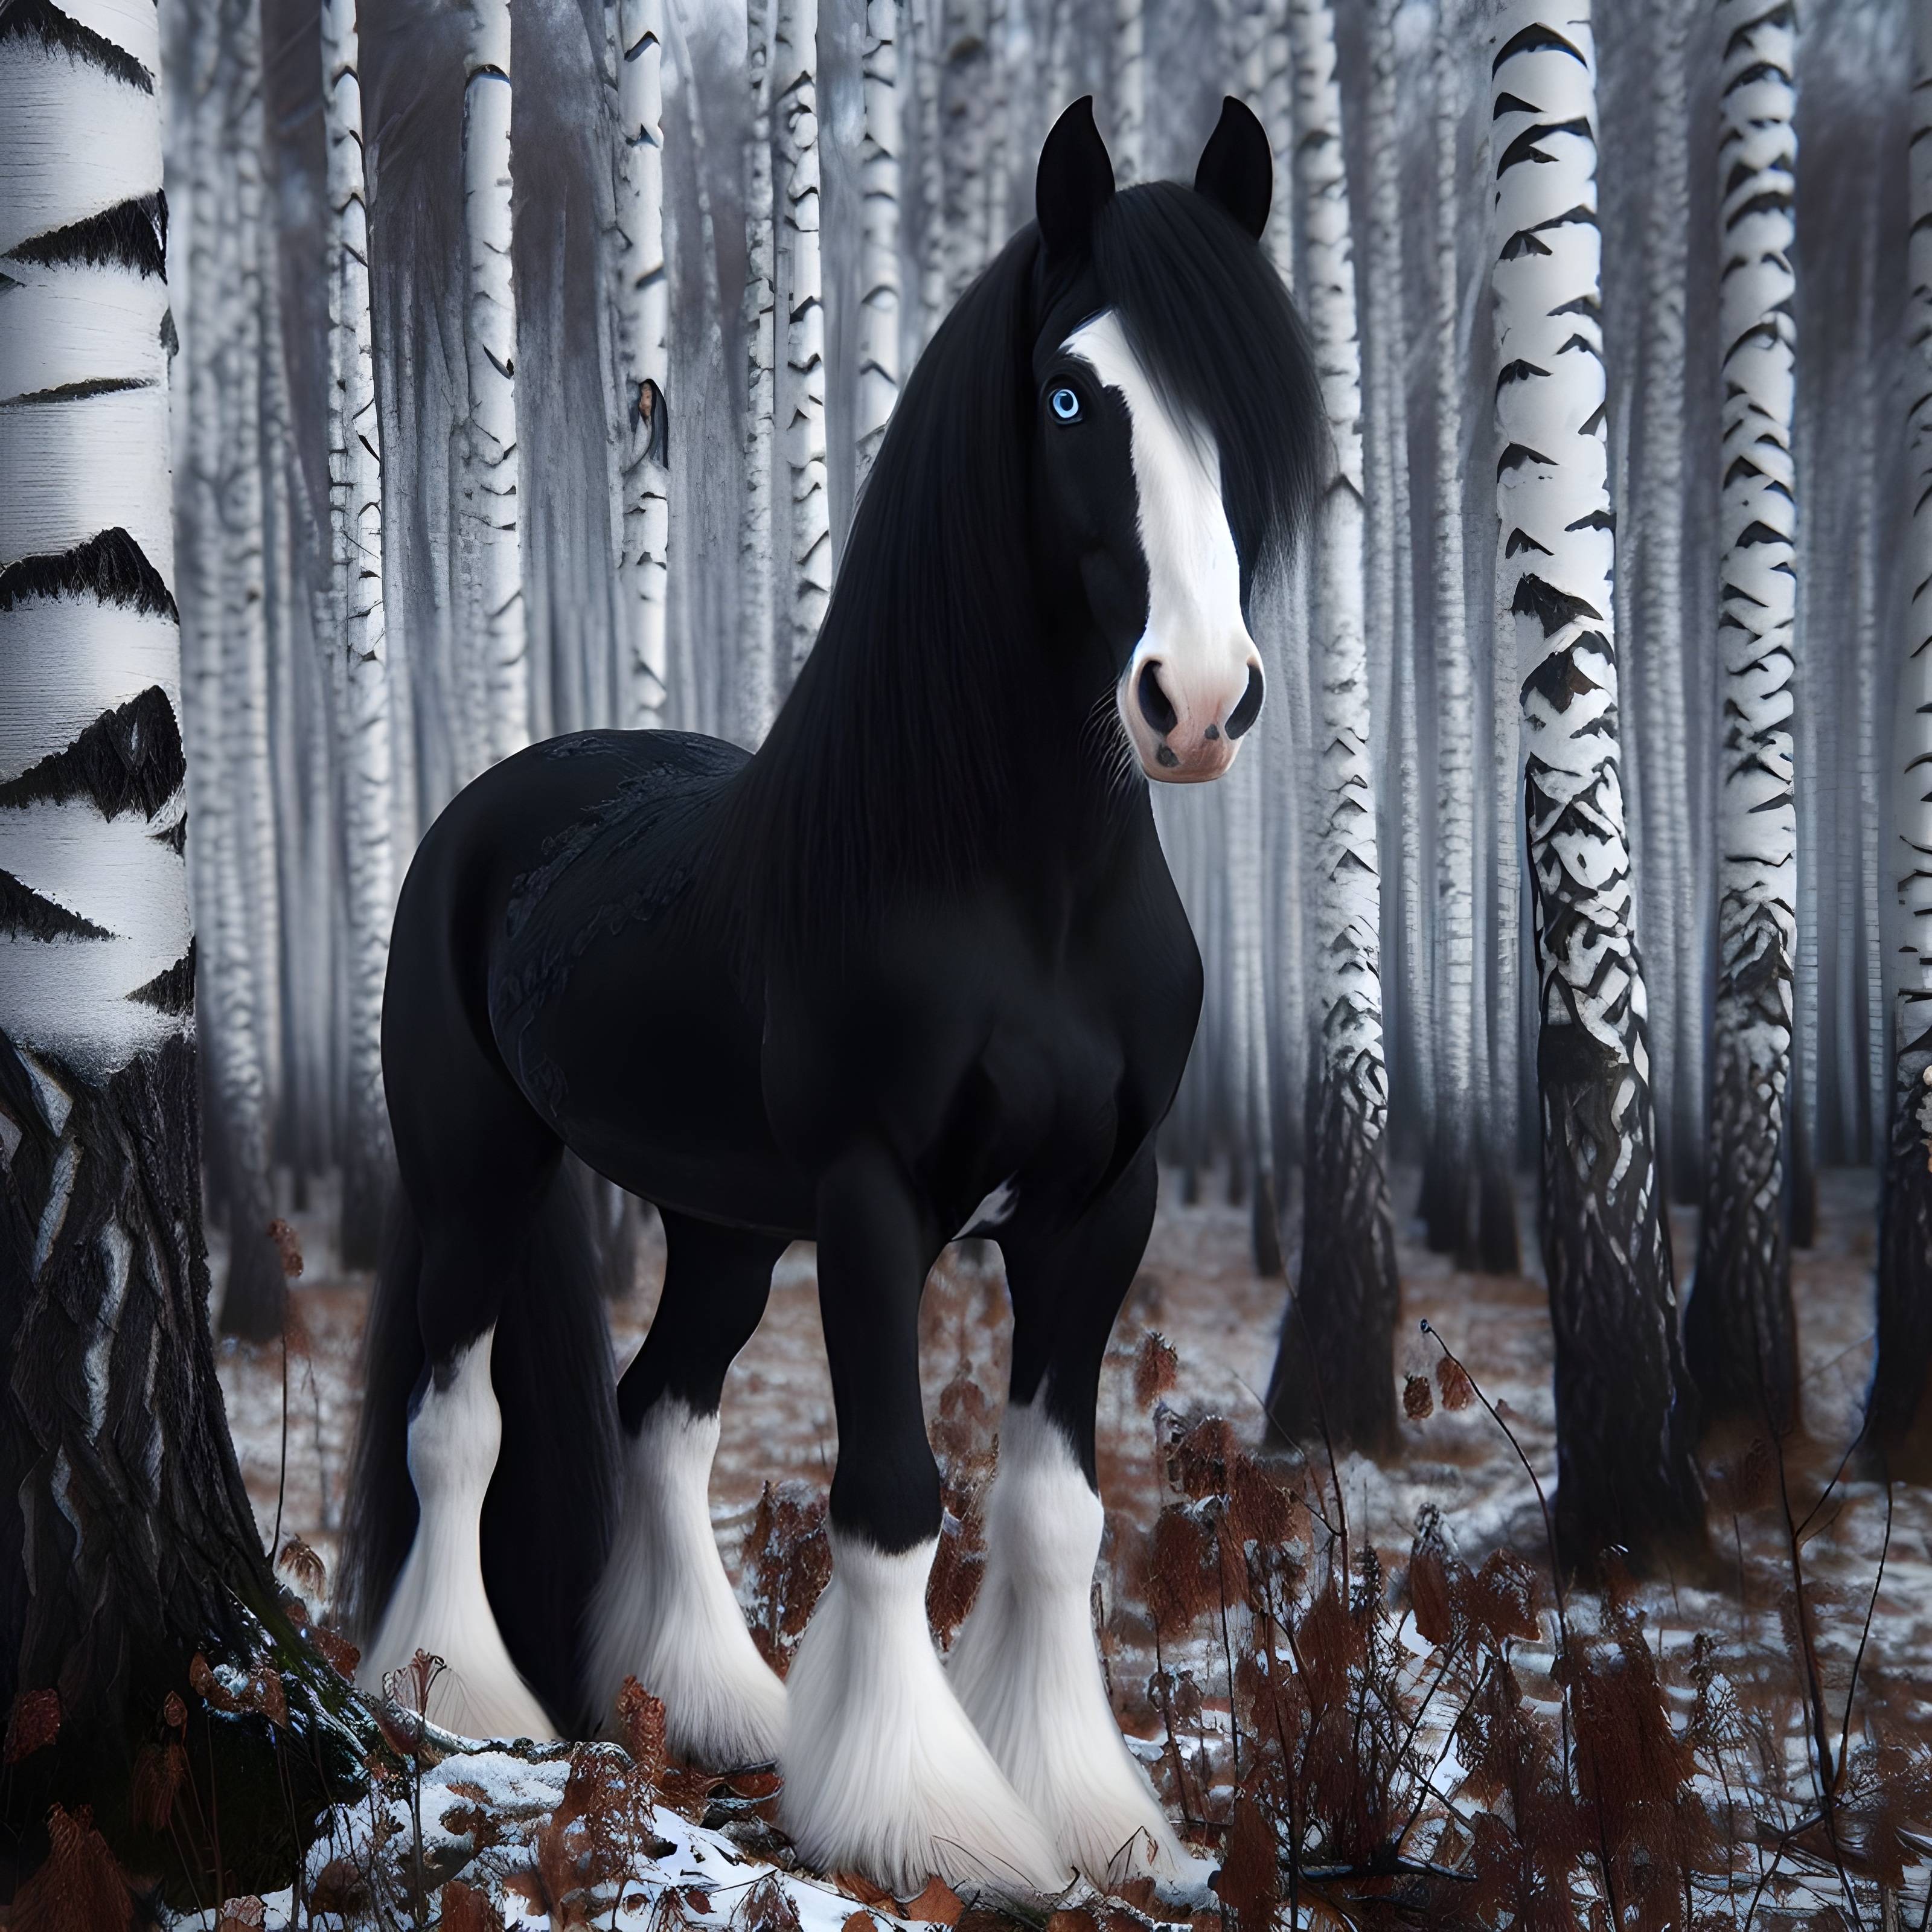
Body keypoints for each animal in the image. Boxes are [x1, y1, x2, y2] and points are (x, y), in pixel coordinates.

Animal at [339, 94, 1322, 1899]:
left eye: (1250, 405)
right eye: (1069, 393)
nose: (1198, 701)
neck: (1018, 891)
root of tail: (500, 796)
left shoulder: (1103, 1203)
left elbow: (1053, 1511)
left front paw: (1088, 1808)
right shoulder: (875, 1201)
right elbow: (891, 1494)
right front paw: (924, 1815)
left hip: (725, 1221)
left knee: (660, 1417)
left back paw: (709, 1700)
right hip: (481, 1174)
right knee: (459, 1425)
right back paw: (463, 1700)